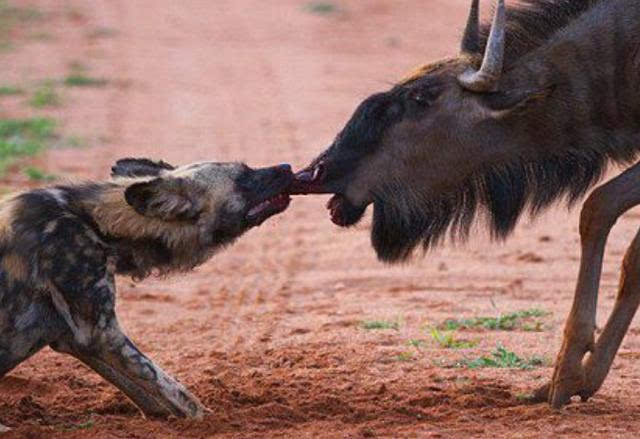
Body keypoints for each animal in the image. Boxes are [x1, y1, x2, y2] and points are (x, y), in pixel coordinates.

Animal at [0, 159, 290, 426]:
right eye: (244, 177)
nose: (287, 167)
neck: (96, 224)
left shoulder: (75, 338)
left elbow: (155, 397)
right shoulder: (100, 334)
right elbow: (180, 395)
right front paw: (208, 422)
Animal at [294, 0, 640, 406]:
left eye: (421, 99)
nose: (317, 171)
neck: (617, 54)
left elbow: (598, 206)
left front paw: (567, 374)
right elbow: (629, 250)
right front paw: (583, 377)